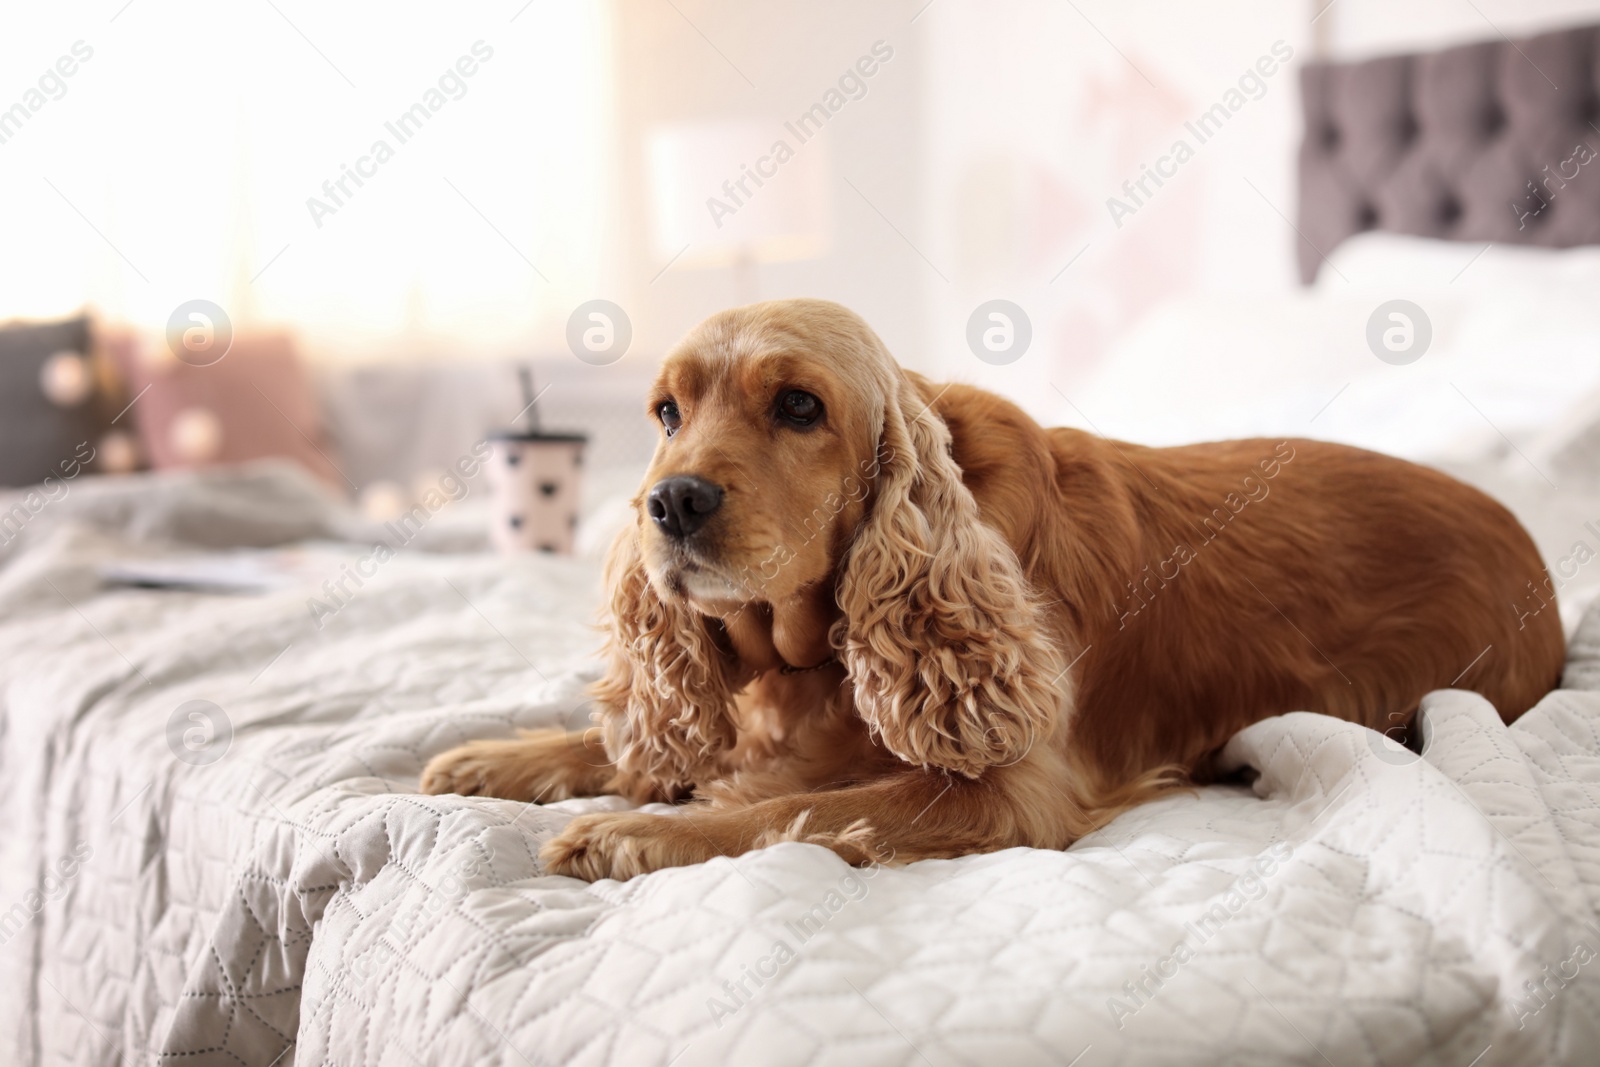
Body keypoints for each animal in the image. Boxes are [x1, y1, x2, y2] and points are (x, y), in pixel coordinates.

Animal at [419, 295, 1568, 883]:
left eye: (799, 406)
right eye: (666, 413)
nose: (671, 502)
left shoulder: (1017, 790)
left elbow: (791, 805)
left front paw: (639, 831)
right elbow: (635, 740)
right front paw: (498, 754)